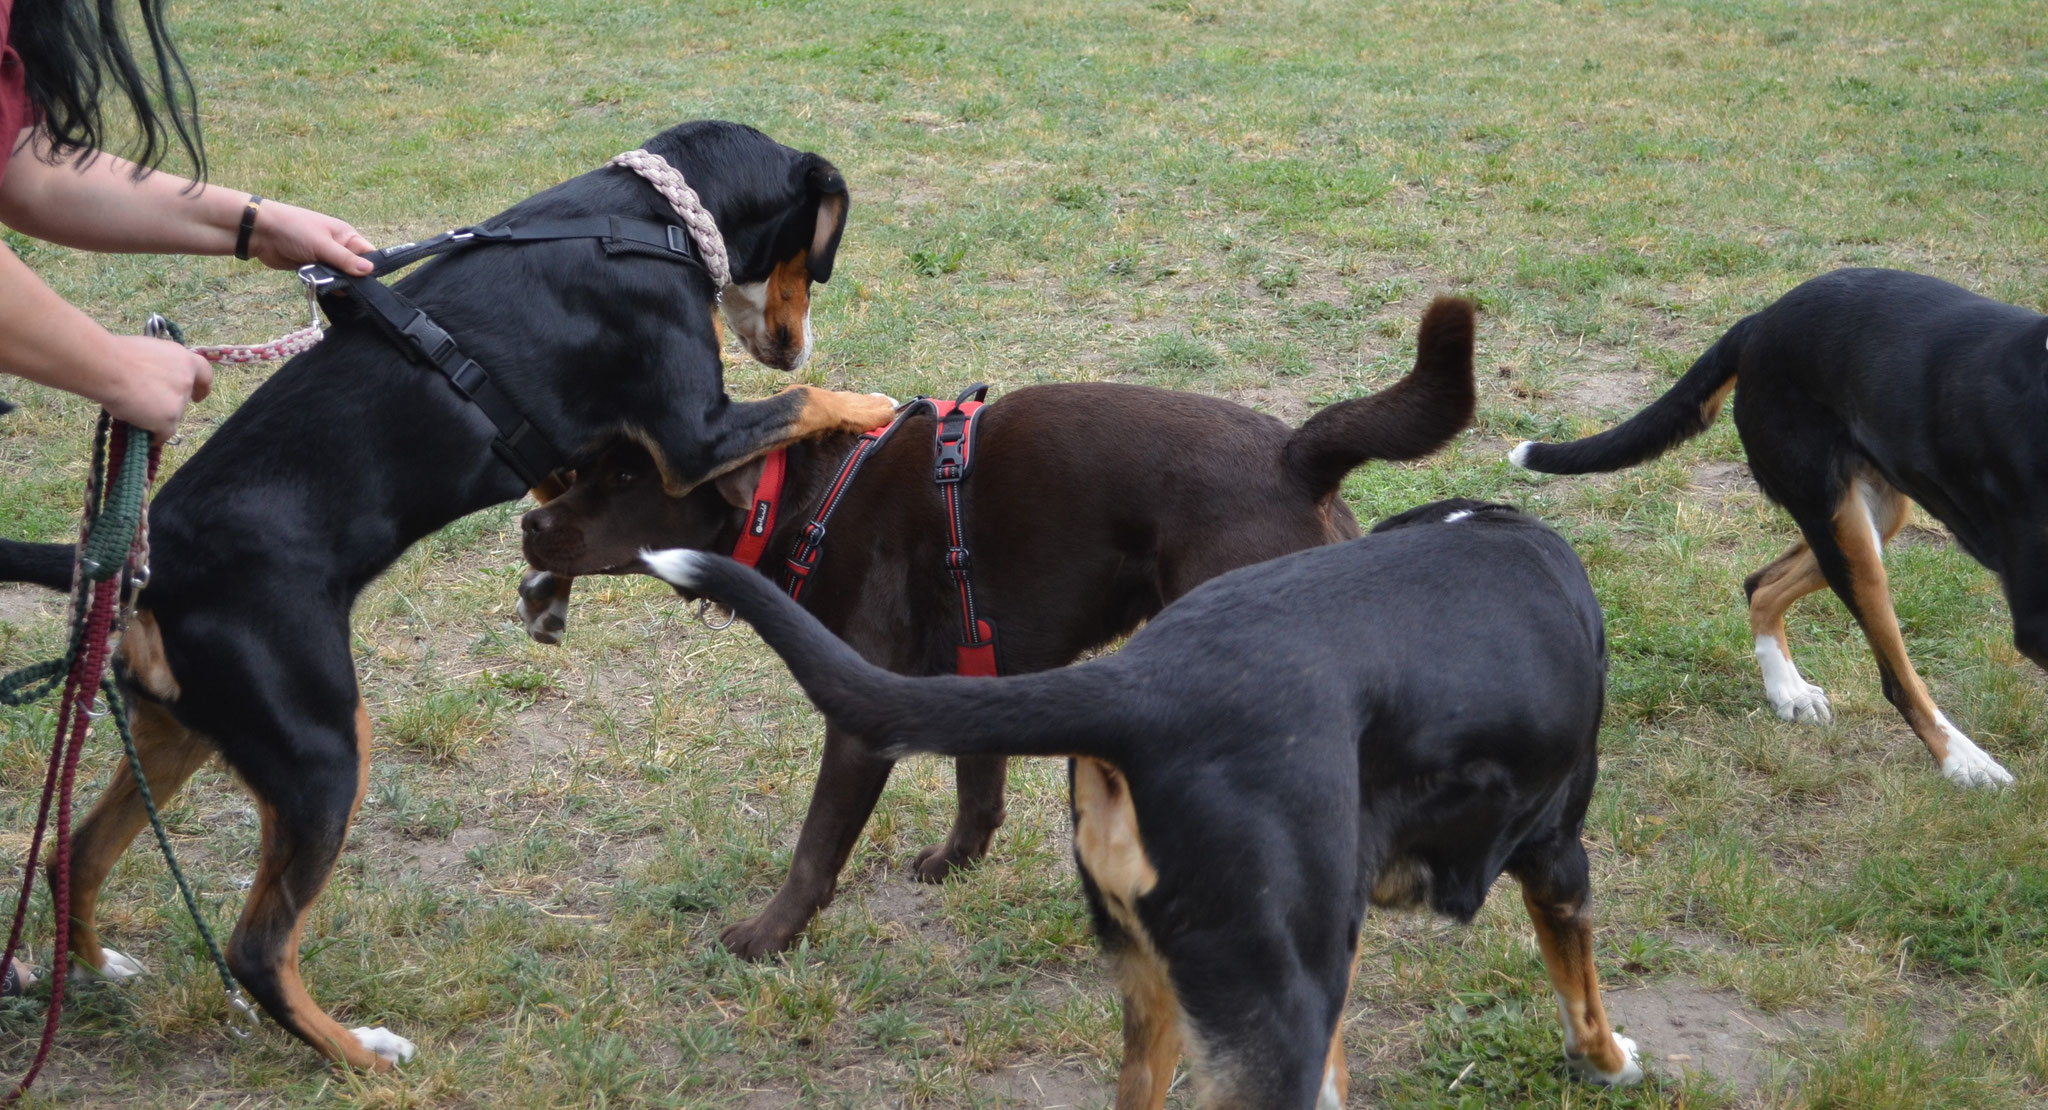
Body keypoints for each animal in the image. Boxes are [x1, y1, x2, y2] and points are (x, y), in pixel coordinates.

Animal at [0, 119, 897, 1073]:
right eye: (813, 262)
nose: (799, 341)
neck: (647, 218)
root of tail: (156, 562)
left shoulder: (584, 453)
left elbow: (566, 517)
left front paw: (548, 594)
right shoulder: (696, 434)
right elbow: (801, 400)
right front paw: (872, 404)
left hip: (183, 733)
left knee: (73, 853)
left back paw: (101, 970)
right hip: (320, 752)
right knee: (256, 948)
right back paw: (364, 1054)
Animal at [512, 301, 1474, 962]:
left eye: (629, 477)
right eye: (582, 469)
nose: (528, 524)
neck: (805, 499)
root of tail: (1295, 454)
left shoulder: (862, 721)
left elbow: (815, 848)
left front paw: (767, 937)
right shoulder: (974, 684)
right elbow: (980, 793)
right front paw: (956, 862)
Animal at [651, 501, 1646, 1105]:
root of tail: (1143, 686)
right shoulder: (1559, 855)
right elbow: (1583, 991)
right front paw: (1608, 1061)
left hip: (1163, 982)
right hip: (1275, 1000)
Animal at [1507, 268, 2048, 790]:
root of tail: (1761, 320)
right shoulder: (2036, 622)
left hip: (1872, 516)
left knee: (1762, 585)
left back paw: (1790, 692)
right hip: (1842, 526)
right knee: (1894, 678)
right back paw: (1964, 761)